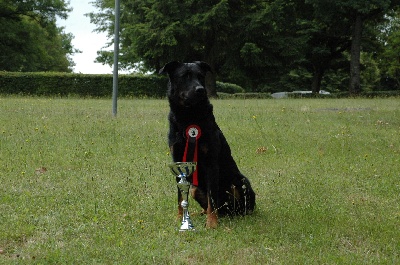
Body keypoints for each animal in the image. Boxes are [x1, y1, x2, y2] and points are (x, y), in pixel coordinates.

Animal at [159, 60, 255, 227]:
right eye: (185, 76)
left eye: (201, 76)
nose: (200, 90)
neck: (189, 116)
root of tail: (227, 212)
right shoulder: (178, 162)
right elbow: (180, 197)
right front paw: (180, 218)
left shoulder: (211, 163)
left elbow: (212, 198)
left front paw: (212, 223)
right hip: (194, 189)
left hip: (239, 181)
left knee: (239, 207)